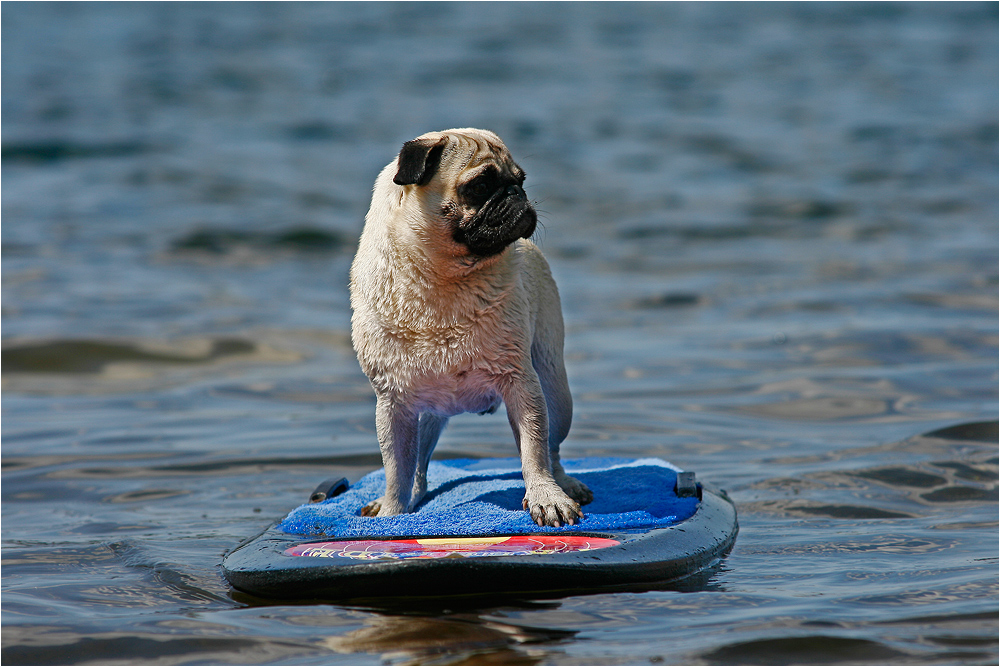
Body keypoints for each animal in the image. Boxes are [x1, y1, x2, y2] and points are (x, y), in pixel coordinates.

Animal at [348, 129, 588, 528]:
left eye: (521, 180)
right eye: (480, 186)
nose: (516, 194)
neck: (442, 281)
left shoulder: (522, 383)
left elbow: (534, 450)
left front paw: (546, 497)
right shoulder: (392, 404)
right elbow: (396, 469)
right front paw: (393, 513)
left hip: (554, 390)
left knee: (552, 447)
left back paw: (565, 484)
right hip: (424, 415)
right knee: (417, 465)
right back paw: (412, 496)